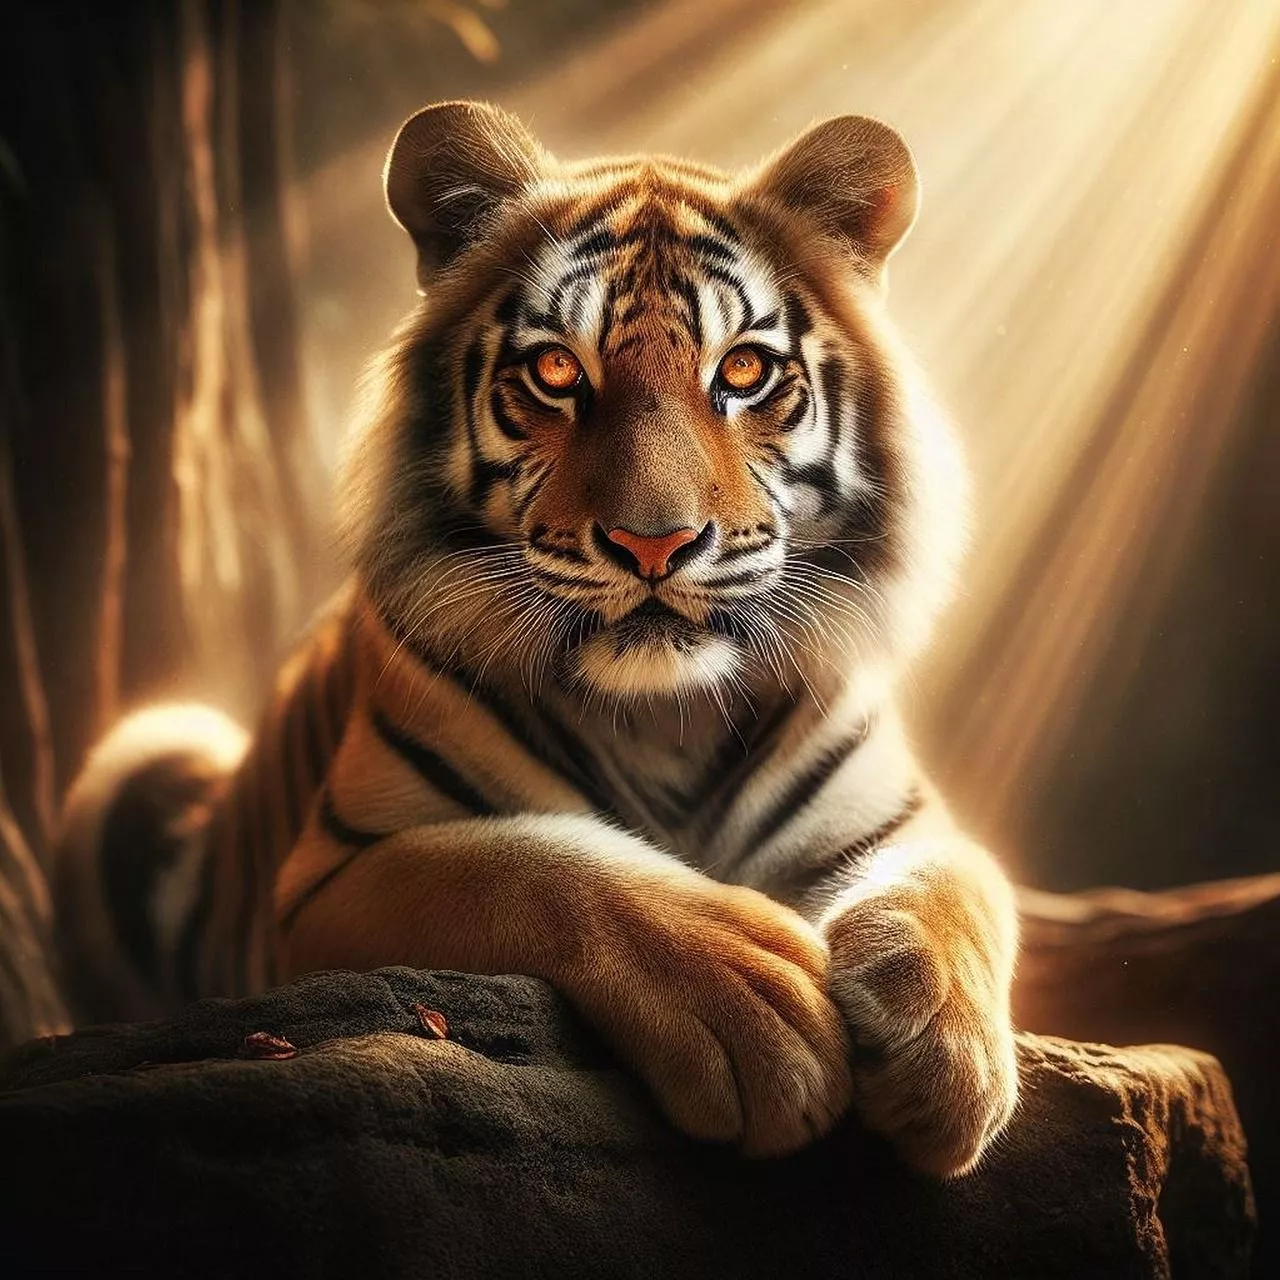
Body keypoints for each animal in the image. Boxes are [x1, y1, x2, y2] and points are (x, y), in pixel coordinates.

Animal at [54, 101, 1019, 1176]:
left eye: (742, 370)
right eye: (557, 370)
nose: (654, 542)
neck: (666, 716)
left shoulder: (901, 822)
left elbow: (962, 887)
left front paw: (946, 1054)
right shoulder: (330, 880)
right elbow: (533, 865)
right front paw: (761, 1009)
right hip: (153, 751)